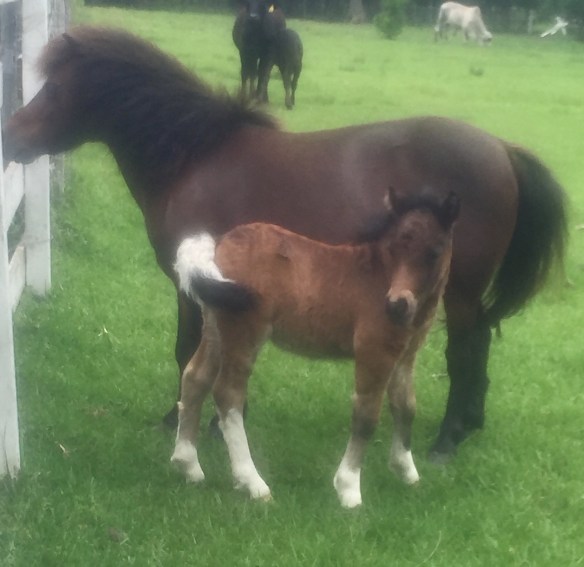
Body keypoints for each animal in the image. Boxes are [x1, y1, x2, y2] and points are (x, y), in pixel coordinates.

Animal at [1, 27, 567, 462]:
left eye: (54, 89)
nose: (11, 138)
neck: (196, 157)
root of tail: (501, 149)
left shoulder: (193, 284)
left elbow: (188, 350)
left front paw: (190, 420)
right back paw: (469, 423)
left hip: (459, 290)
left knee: (466, 351)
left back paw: (447, 441)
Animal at [171, 189, 460, 507]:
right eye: (395, 247)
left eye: (434, 252)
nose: (397, 305)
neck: (378, 277)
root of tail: (219, 246)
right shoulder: (375, 351)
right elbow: (366, 416)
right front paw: (349, 490)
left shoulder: (405, 355)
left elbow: (406, 406)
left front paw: (407, 472)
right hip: (244, 332)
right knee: (228, 394)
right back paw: (253, 484)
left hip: (215, 329)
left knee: (195, 378)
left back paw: (188, 466)